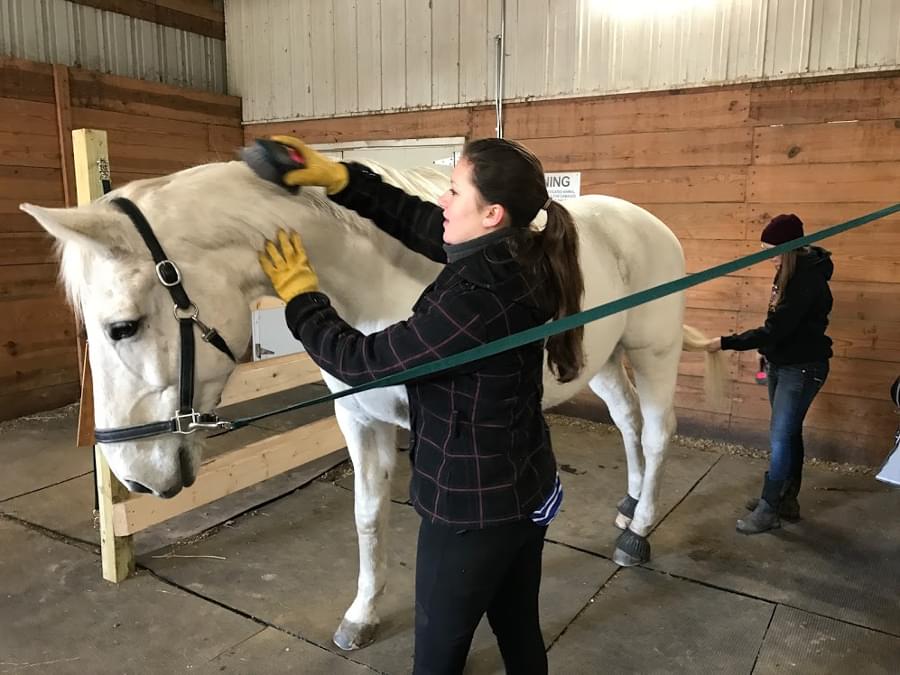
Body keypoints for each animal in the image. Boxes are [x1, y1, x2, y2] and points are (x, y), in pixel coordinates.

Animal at [22, 157, 724, 650]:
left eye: (122, 327)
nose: (136, 476)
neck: (378, 280)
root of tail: (648, 223)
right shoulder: (359, 419)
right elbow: (366, 517)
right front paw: (361, 615)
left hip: (655, 351)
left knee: (656, 431)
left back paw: (638, 532)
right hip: (601, 359)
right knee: (628, 422)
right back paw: (629, 502)